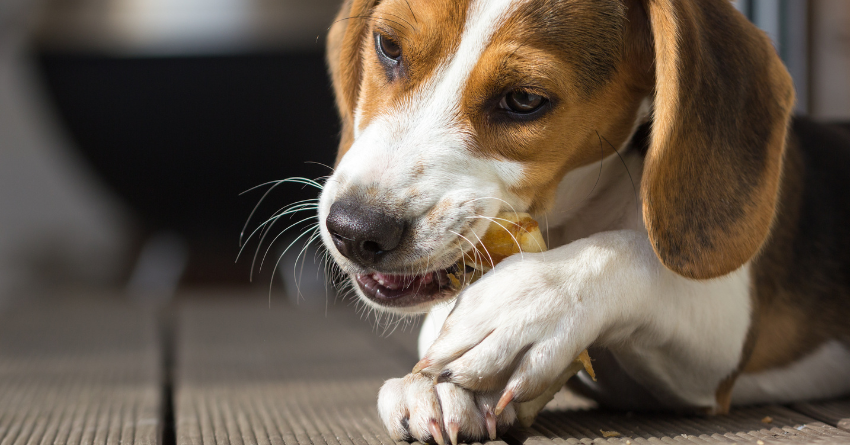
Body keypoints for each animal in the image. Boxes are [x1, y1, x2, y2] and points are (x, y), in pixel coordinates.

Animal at [314, 0, 848, 440]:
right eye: (388, 47)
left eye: (525, 100)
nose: (356, 230)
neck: (573, 216)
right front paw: (433, 384)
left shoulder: (722, 338)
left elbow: (632, 252)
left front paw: (521, 306)